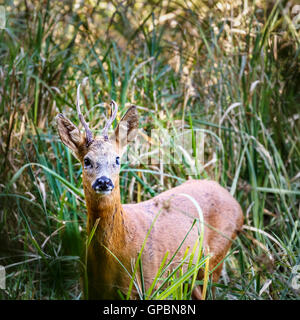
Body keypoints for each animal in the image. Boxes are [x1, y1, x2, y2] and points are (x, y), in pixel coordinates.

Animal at [56, 86, 244, 298]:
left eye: (117, 159)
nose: (104, 181)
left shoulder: (147, 283)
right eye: (87, 160)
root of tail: (236, 203)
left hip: (215, 256)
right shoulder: (89, 288)